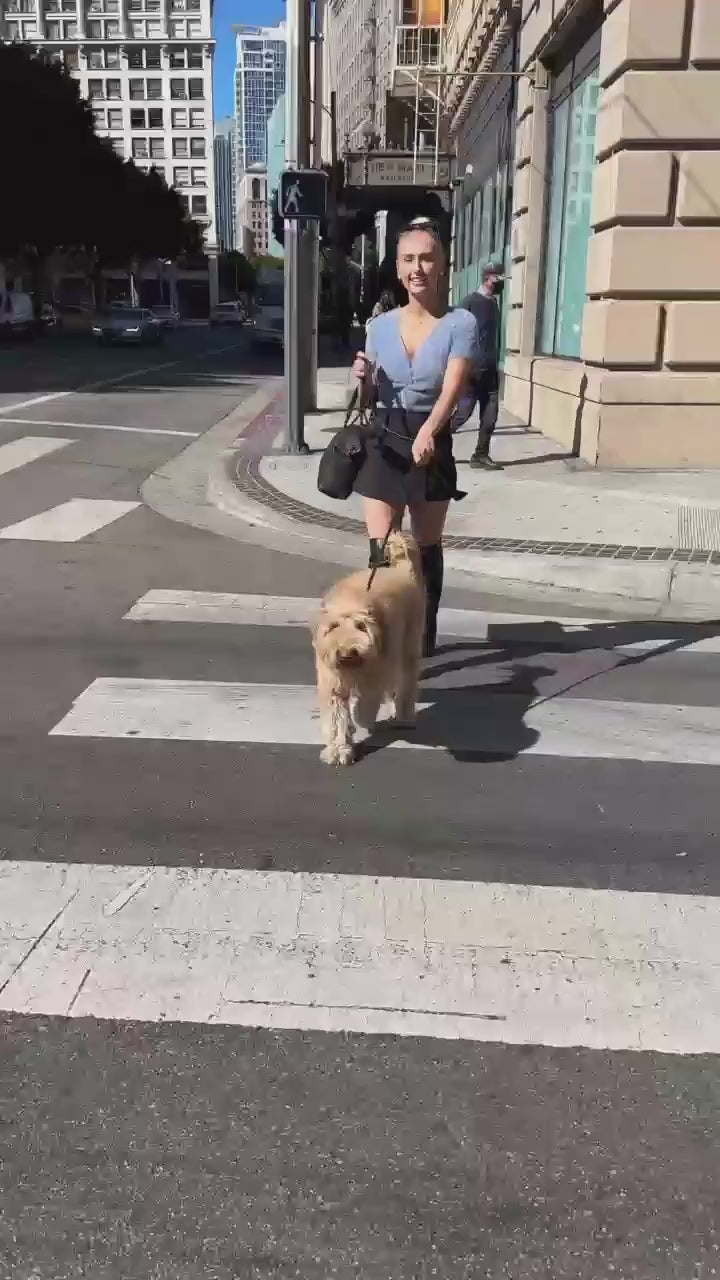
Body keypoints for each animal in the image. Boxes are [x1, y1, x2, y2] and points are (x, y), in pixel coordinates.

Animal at [311, 527, 422, 757]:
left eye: (361, 626)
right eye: (333, 626)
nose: (347, 653)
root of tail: (401, 570)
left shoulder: (376, 673)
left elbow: (367, 702)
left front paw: (359, 719)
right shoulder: (333, 682)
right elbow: (336, 717)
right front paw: (338, 750)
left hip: (407, 647)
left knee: (406, 682)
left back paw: (404, 717)